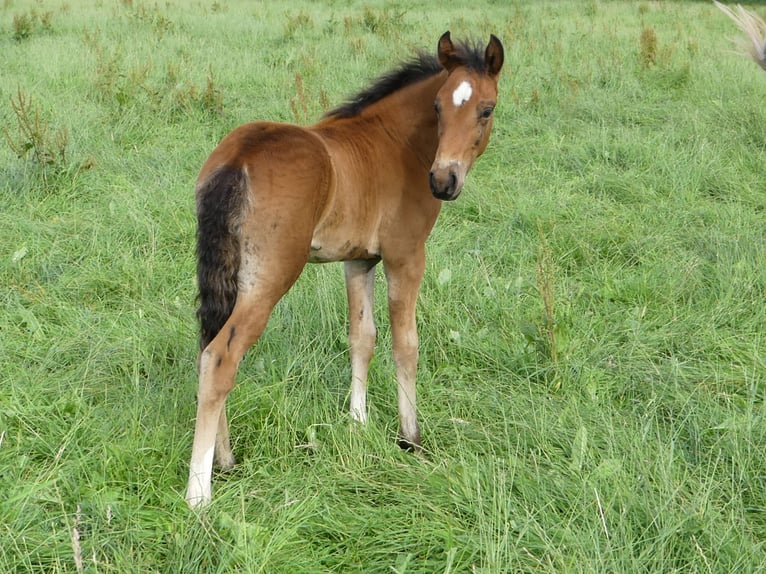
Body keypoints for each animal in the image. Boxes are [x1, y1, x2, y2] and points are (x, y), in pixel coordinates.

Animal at [188, 32, 504, 508]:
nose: (443, 181)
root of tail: (238, 157)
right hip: (270, 278)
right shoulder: (405, 256)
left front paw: (358, 422)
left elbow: (362, 337)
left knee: (208, 343)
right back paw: (199, 494)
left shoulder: (359, 260)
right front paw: (410, 439)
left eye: (485, 109)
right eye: (437, 107)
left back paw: (225, 460)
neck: (397, 144)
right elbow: (405, 344)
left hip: (229, 273)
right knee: (221, 357)